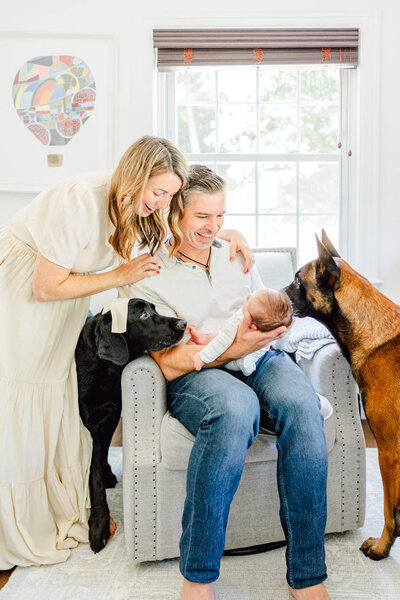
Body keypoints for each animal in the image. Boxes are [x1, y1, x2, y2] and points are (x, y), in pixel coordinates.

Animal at [75, 298, 186, 556]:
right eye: (143, 315)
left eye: (154, 309)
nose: (183, 323)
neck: (105, 368)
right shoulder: (90, 421)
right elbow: (93, 474)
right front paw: (99, 525)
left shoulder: (110, 414)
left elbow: (97, 462)